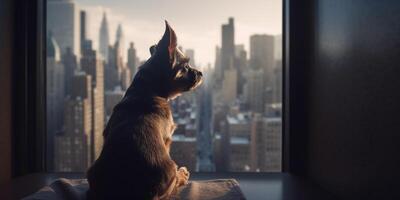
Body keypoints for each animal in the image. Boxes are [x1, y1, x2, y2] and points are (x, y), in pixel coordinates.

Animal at [85, 21, 202, 199]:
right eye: (186, 66)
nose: (201, 73)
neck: (147, 89)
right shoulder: (167, 140)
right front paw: (181, 175)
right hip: (169, 167)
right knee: (174, 179)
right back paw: (182, 174)